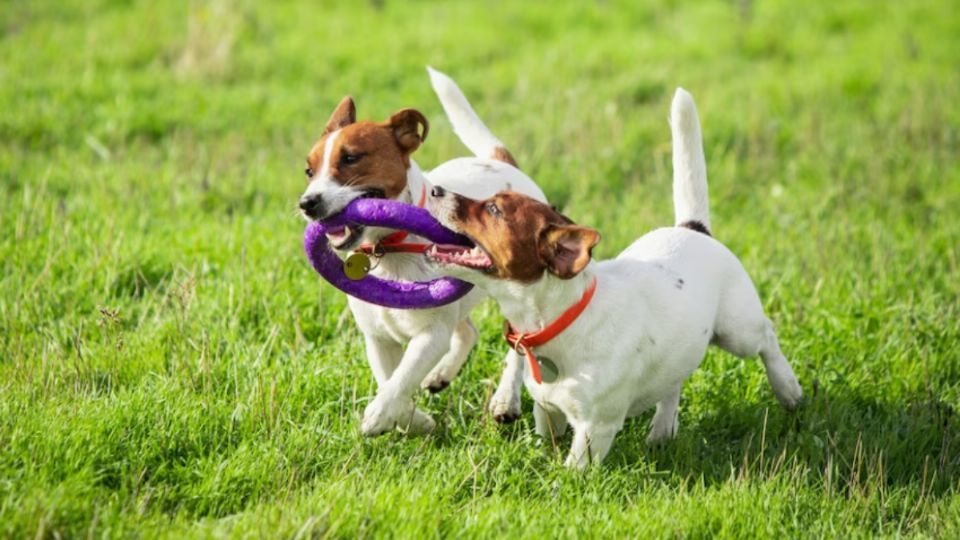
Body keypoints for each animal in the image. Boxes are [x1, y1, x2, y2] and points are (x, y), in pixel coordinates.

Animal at [298, 67, 548, 436]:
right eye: (309, 171)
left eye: (351, 158)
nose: (307, 203)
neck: (389, 249)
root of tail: (500, 163)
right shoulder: (378, 339)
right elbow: (390, 380)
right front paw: (413, 420)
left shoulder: (430, 335)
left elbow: (401, 379)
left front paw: (379, 415)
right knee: (468, 331)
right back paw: (441, 375)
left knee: (518, 347)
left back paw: (506, 400)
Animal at [426, 89, 804, 468]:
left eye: (494, 210)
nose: (435, 190)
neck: (562, 320)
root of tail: (693, 228)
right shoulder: (548, 411)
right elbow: (549, 441)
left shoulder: (595, 429)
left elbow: (572, 469)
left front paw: (561, 478)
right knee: (674, 382)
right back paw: (662, 431)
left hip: (737, 331)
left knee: (767, 336)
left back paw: (788, 389)